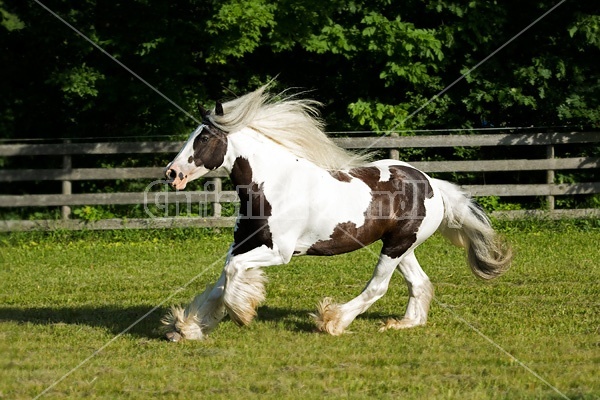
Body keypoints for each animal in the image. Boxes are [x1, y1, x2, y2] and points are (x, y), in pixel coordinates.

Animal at [161, 83, 510, 340]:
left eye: (204, 138)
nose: (171, 173)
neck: (273, 184)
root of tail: (431, 184)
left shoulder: (279, 252)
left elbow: (233, 274)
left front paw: (240, 313)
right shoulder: (243, 244)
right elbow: (222, 280)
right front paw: (187, 328)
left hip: (396, 246)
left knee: (378, 287)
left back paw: (332, 321)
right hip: (402, 245)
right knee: (419, 283)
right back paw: (403, 324)